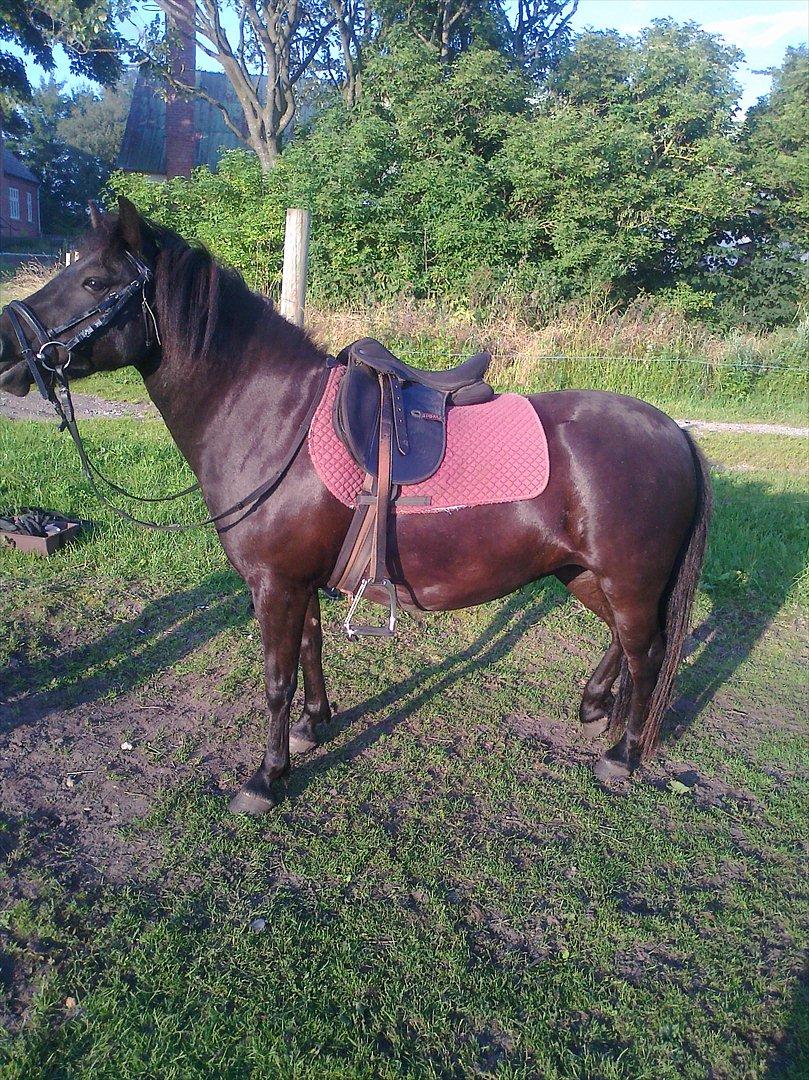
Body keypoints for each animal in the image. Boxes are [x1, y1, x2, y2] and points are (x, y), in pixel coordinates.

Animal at [0, 198, 712, 816]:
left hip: (626, 579)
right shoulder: (299, 584)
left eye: (94, 281)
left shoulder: (275, 585)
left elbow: (276, 680)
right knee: (625, 641)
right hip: (585, 575)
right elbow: (310, 653)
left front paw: (265, 778)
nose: (10, 346)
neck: (273, 419)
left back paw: (622, 755)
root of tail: (674, 433)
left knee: (648, 654)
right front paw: (313, 728)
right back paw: (596, 705)